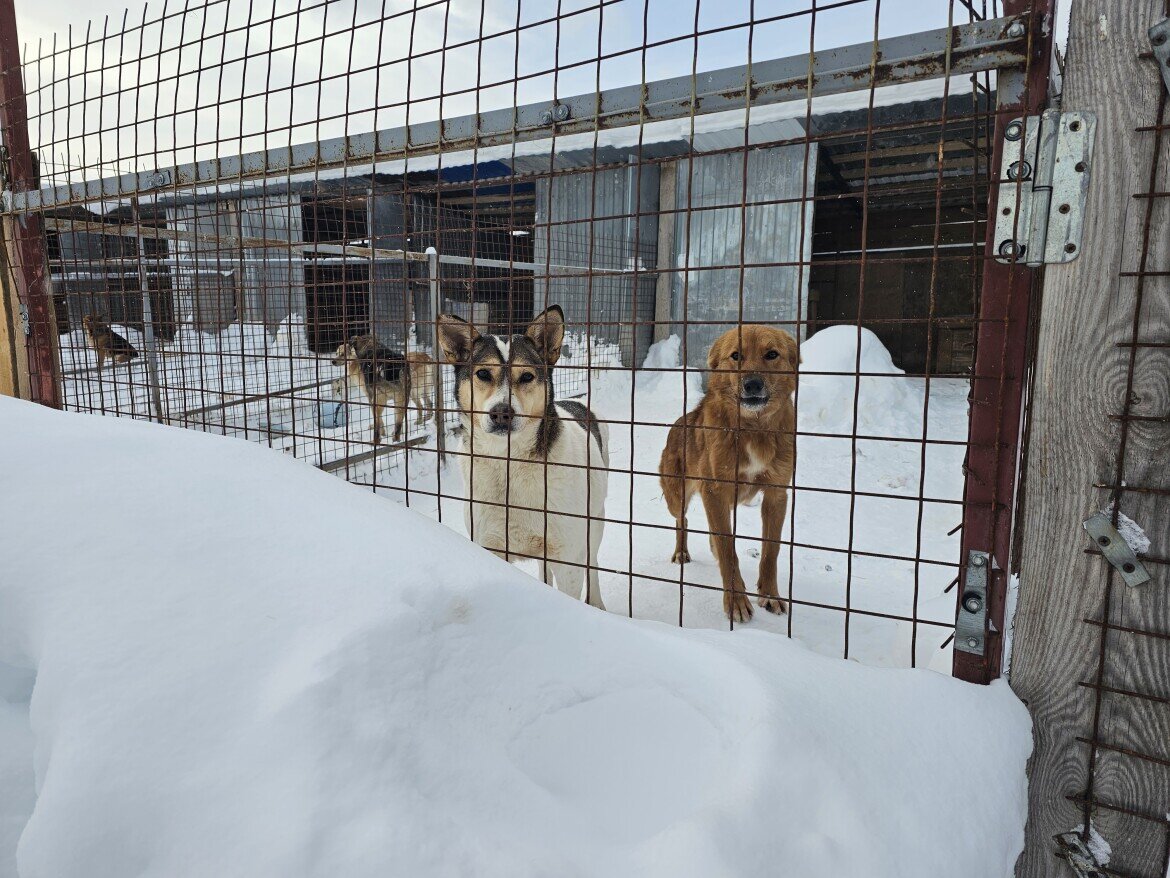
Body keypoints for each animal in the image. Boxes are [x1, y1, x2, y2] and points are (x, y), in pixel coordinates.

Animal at [435, 306, 608, 608]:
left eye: (526, 376)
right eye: (483, 374)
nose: (502, 413)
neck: (509, 462)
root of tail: (578, 402)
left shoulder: (568, 559)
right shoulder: (489, 545)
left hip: (595, 521)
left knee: (594, 563)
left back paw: (597, 603)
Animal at [655, 325, 800, 627]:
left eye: (772, 354)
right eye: (736, 356)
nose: (752, 384)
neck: (753, 429)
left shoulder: (777, 495)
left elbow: (771, 551)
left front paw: (770, 594)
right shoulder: (714, 491)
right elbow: (727, 549)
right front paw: (737, 601)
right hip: (678, 497)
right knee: (682, 521)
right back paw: (681, 551)